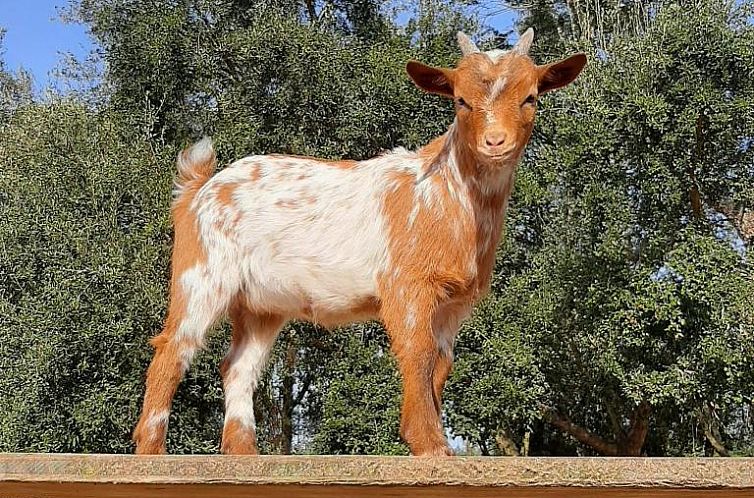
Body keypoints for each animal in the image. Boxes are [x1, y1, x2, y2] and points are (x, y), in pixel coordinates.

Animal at [132, 27, 584, 456]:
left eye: (530, 98)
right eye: (460, 101)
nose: (495, 142)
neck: (450, 194)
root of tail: (199, 190)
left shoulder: (455, 302)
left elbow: (441, 363)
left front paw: (431, 437)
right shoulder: (407, 285)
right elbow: (417, 353)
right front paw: (429, 444)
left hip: (261, 303)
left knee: (239, 367)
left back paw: (244, 454)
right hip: (203, 274)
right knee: (173, 349)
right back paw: (152, 450)